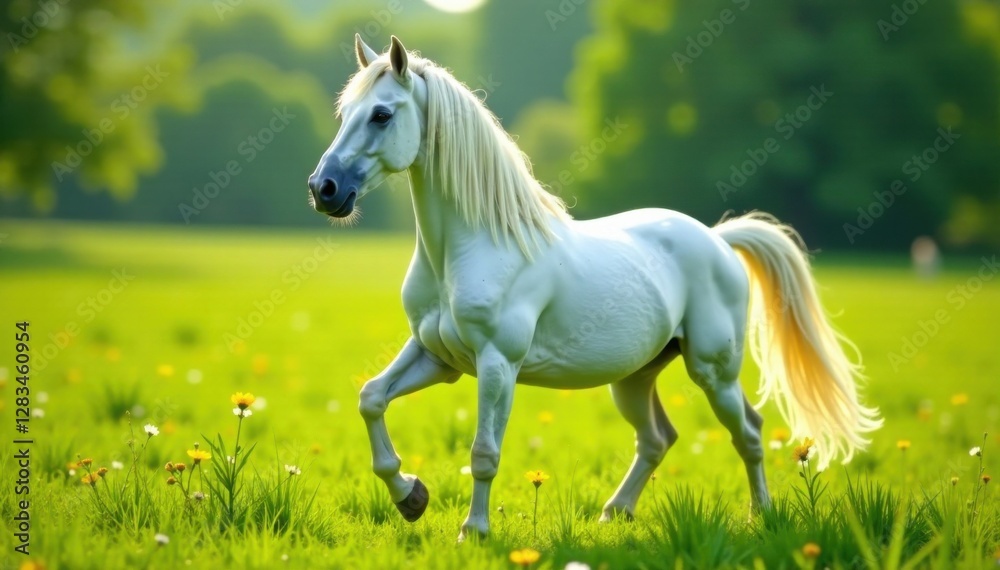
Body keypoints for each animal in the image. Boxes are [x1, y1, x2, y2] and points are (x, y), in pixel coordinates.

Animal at [307, 35, 882, 541]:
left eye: (382, 115)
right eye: (344, 113)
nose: (324, 189)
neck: (469, 247)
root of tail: (718, 240)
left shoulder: (497, 364)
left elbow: (483, 453)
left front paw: (473, 531)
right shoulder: (437, 356)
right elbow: (371, 398)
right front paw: (411, 497)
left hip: (713, 371)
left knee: (750, 433)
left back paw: (760, 516)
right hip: (634, 378)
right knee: (658, 438)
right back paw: (614, 514)